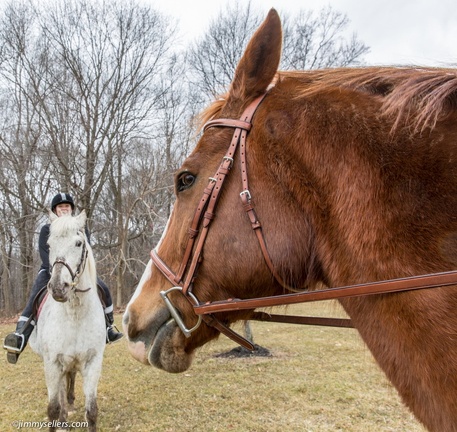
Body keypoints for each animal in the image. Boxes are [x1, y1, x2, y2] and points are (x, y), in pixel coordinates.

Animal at [29, 213, 105, 432]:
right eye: (49, 244)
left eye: (79, 243)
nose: (58, 287)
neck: (74, 315)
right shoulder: (52, 363)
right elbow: (53, 409)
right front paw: (61, 419)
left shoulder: (93, 362)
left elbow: (92, 411)